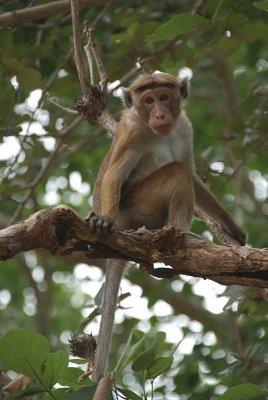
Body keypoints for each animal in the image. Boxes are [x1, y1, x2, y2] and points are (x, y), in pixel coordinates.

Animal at [88, 72, 247, 382]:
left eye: (163, 97)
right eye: (148, 101)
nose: (160, 114)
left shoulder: (185, 128)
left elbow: (194, 176)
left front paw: (233, 229)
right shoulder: (133, 131)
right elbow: (115, 175)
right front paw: (104, 219)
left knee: (181, 171)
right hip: (136, 212)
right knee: (176, 172)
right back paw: (181, 238)